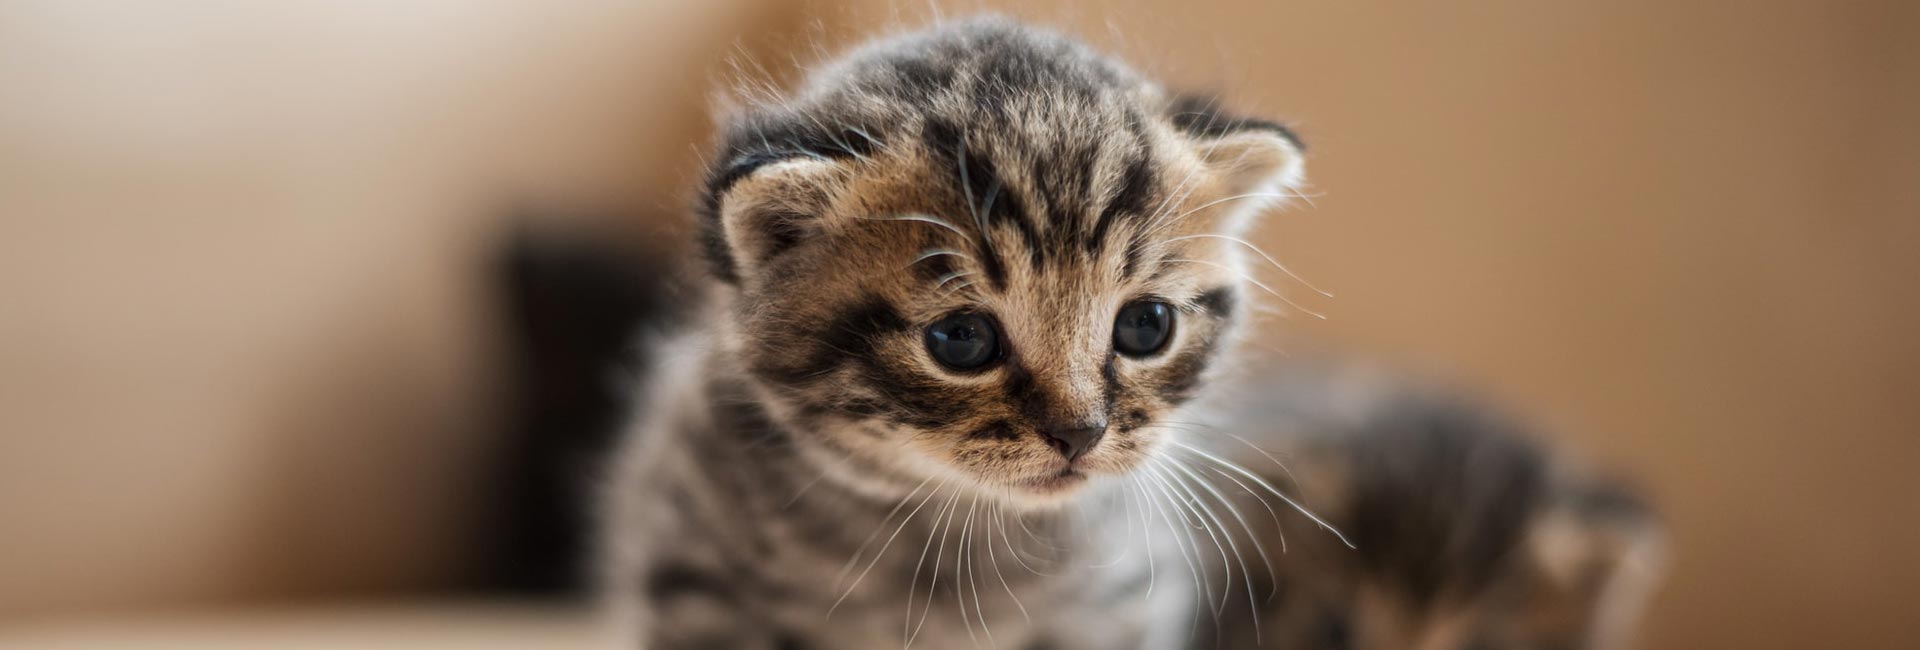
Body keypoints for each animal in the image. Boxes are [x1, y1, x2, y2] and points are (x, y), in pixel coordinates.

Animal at [602, 17, 1666, 648]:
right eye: (961, 342)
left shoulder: (1121, 611)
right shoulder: (700, 590)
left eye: (1144, 326)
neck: (953, 548)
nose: (1080, 432)